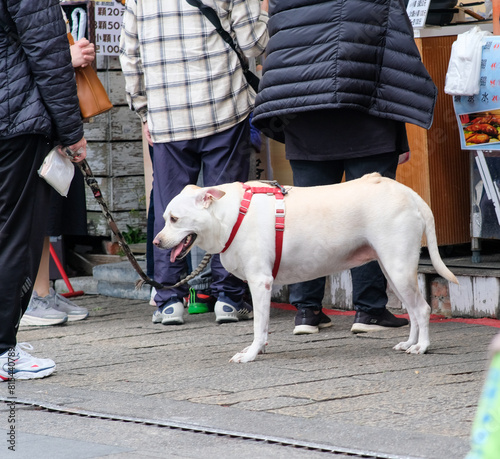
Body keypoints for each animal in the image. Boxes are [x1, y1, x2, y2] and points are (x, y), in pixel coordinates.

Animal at [154, 174, 458, 364]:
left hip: (398, 268)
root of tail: (407, 191)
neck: (230, 214)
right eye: (165, 218)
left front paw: (251, 354)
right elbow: (262, 326)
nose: (156, 242)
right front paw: (258, 350)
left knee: (422, 310)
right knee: (413, 312)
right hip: (392, 269)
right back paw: (410, 343)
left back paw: (422, 347)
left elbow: (258, 326)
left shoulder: (260, 282)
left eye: (175, 219)